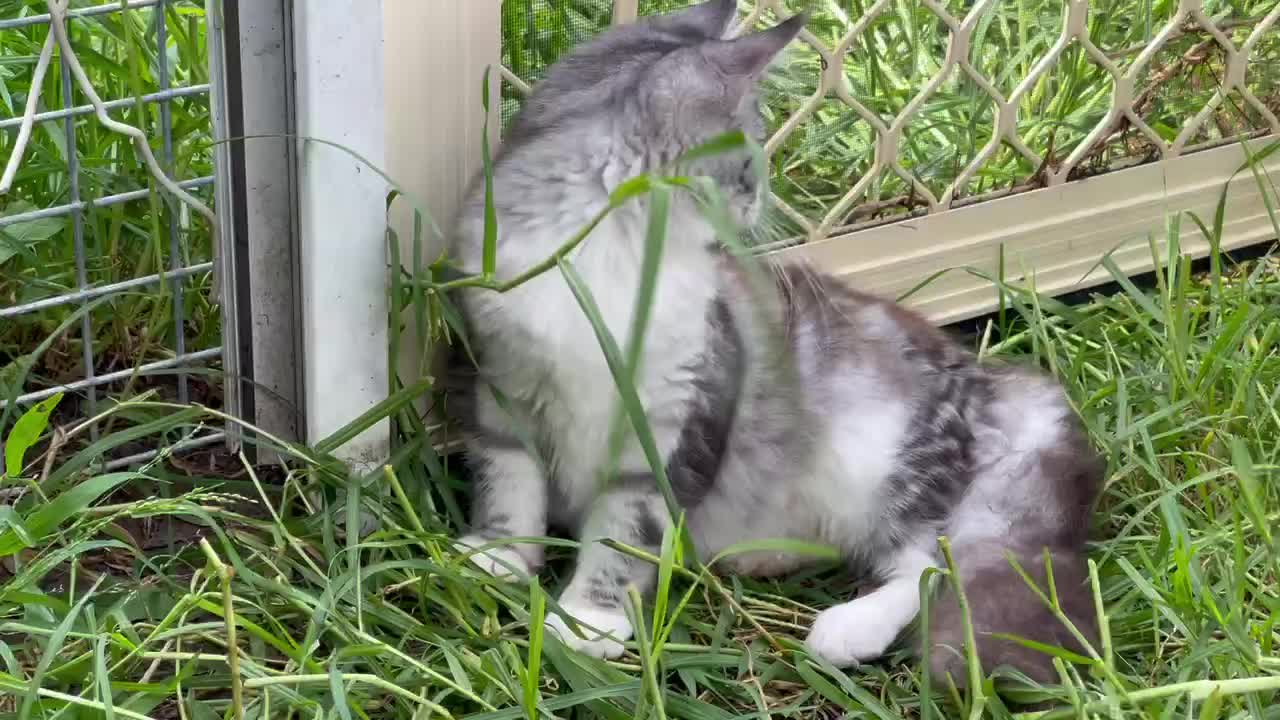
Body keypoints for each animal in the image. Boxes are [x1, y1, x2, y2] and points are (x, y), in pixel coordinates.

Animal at [448, 1, 1100, 681]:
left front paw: (588, 619)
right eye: (747, 164)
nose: (759, 198)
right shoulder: (503, 387)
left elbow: (623, 530)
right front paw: (499, 556)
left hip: (888, 466)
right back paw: (758, 556)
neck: (609, 259)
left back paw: (846, 630)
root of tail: (990, 379)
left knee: (929, 562)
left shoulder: (671, 422)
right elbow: (511, 484)